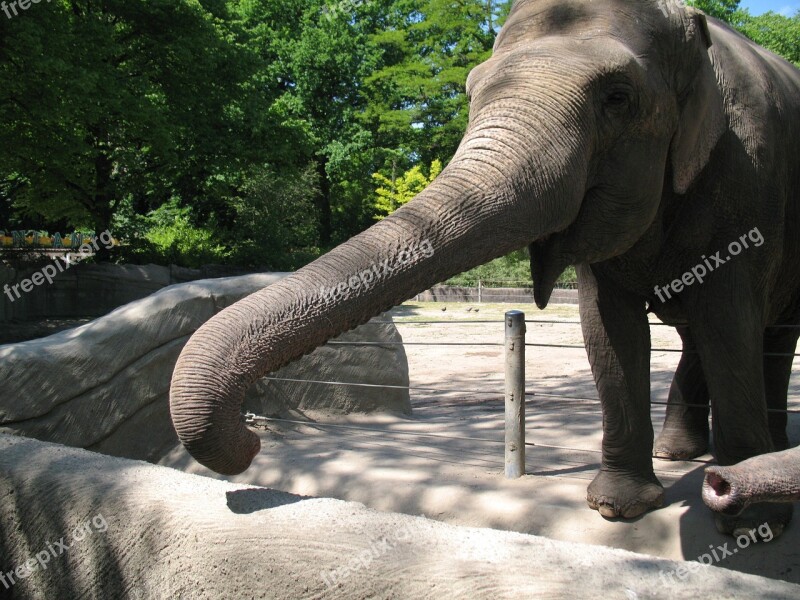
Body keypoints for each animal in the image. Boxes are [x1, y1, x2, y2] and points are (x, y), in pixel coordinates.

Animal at [169, 0, 800, 536]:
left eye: (617, 98)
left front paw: (749, 522)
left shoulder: (750, 183)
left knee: (765, 335)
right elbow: (608, 332)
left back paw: (756, 456)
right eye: (471, 89)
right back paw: (687, 456)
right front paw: (618, 508)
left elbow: (728, 325)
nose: (251, 446)